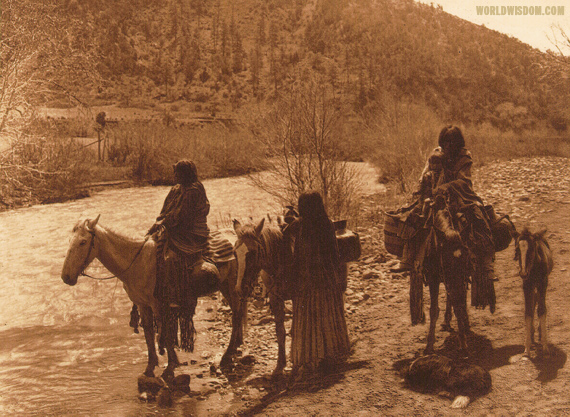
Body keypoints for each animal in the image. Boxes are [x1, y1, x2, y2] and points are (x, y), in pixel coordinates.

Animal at [61, 216, 246, 378]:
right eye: (69, 241)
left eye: (83, 242)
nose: (66, 277)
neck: (136, 262)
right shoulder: (142, 305)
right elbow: (149, 334)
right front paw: (150, 367)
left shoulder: (158, 305)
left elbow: (165, 333)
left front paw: (170, 367)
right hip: (224, 287)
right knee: (238, 312)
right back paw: (237, 345)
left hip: (231, 285)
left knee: (236, 314)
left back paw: (228, 354)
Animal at [510, 226, 552, 356]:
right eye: (517, 250)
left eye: (532, 248)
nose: (523, 273)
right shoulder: (527, 285)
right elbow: (528, 311)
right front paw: (527, 348)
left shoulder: (543, 283)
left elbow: (542, 310)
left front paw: (545, 347)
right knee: (534, 301)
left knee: (537, 300)